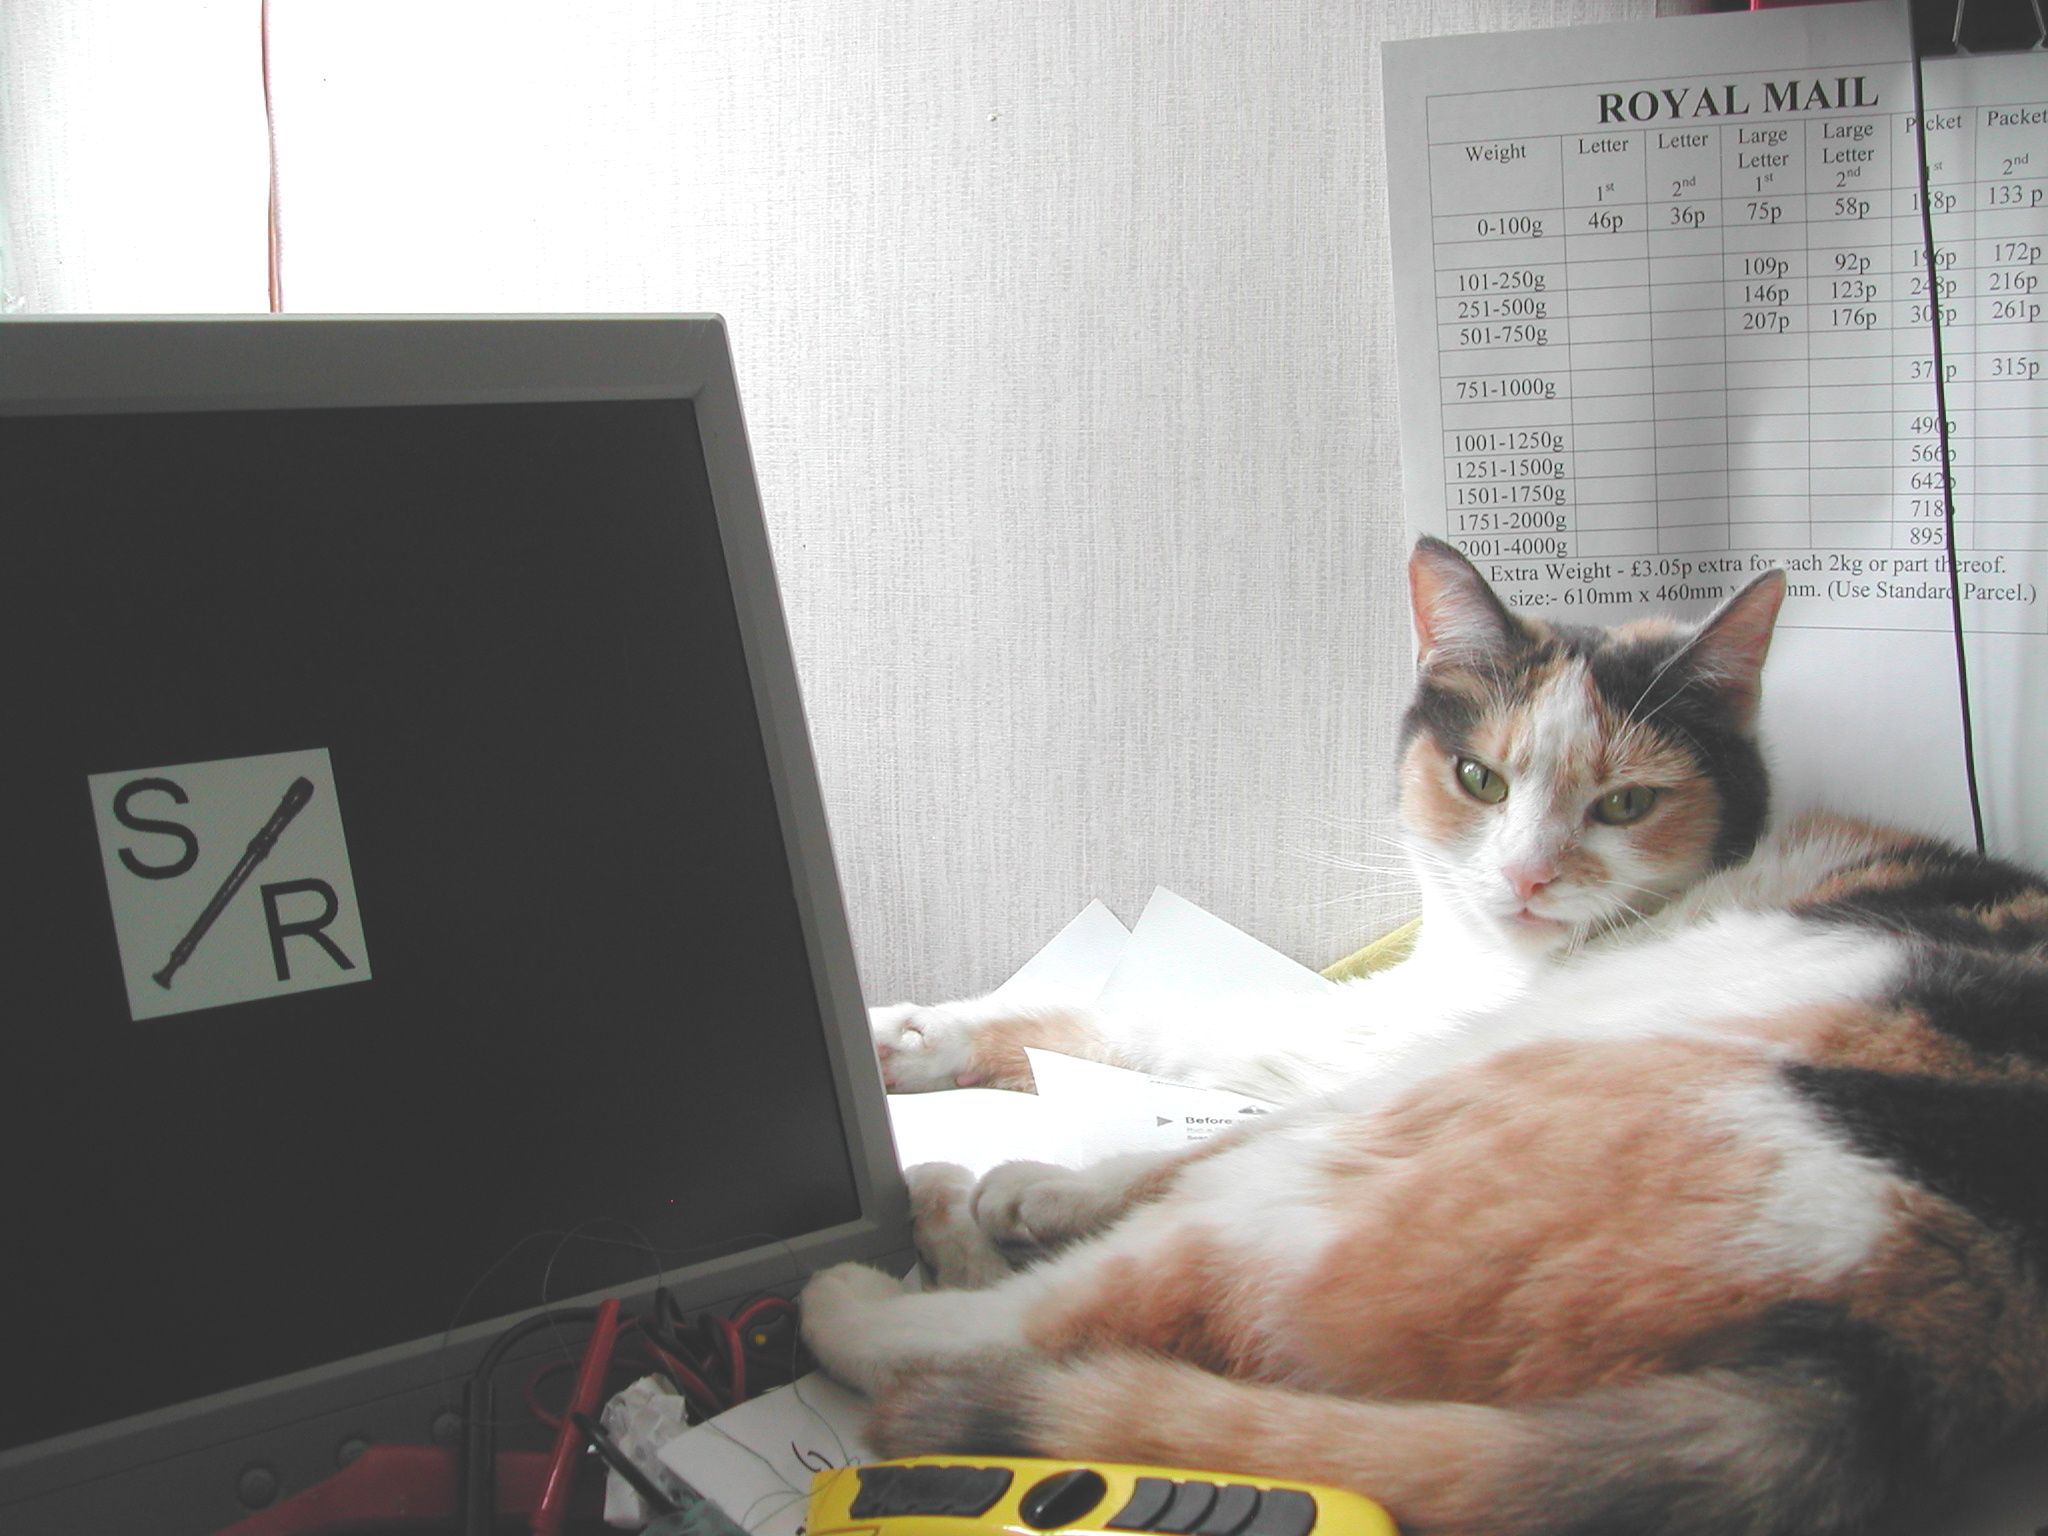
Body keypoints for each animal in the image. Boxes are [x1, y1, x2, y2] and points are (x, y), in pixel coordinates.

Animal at [798, 536, 2048, 1536]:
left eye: (1625, 806)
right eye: (1478, 779)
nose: (1527, 877)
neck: (1489, 964)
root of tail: (1898, 1360)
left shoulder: (1442, 1040)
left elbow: (1202, 1088)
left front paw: (1049, 1181)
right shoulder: (1395, 1011)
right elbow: (1162, 1019)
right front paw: (909, 1038)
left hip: (1465, 1119)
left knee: (1088, 1306)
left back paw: (887, 1271)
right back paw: (951, 1206)